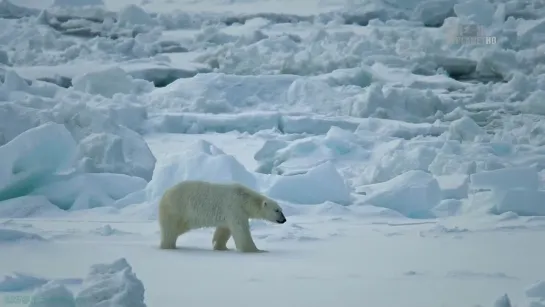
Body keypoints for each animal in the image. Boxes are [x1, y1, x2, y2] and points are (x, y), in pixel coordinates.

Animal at [156, 180, 284, 253]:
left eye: (281, 210)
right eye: (276, 210)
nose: (284, 219)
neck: (244, 199)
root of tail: (164, 194)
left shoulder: (229, 214)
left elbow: (224, 230)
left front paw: (221, 247)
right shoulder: (234, 207)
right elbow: (241, 230)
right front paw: (257, 250)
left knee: (178, 229)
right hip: (176, 209)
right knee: (170, 230)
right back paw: (168, 246)